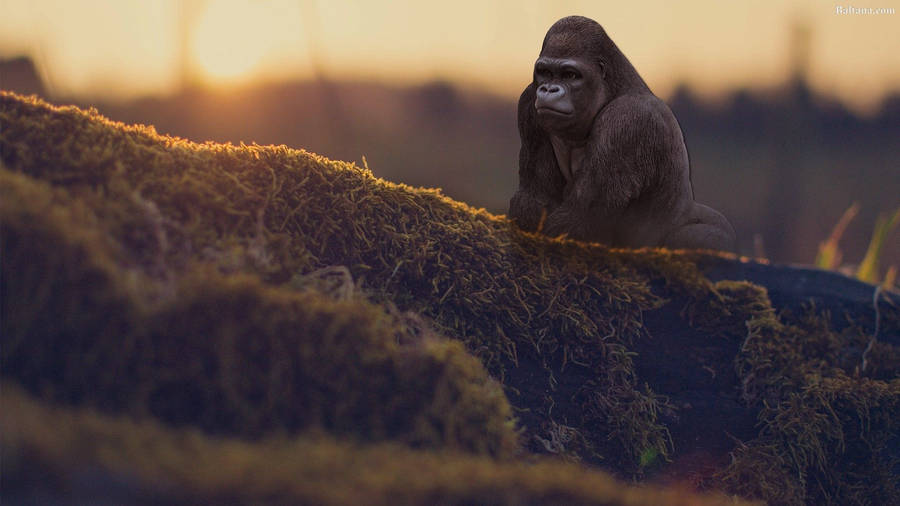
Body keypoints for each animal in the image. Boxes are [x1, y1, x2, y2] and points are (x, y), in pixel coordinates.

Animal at [509, 16, 736, 252]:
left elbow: (581, 217)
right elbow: (535, 197)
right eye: (544, 72)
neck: (610, 89)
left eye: (570, 75)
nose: (548, 89)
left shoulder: (627, 119)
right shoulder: (528, 102)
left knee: (700, 237)